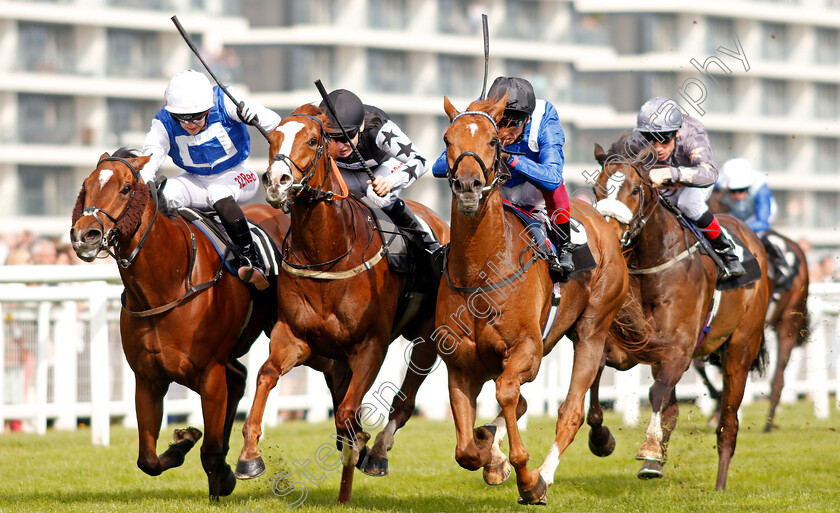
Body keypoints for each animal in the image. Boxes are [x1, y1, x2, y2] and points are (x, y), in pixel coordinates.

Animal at [69, 147, 316, 496]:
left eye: (126, 188)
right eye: (86, 186)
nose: (85, 235)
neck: (167, 286)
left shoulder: (210, 375)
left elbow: (210, 451)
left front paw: (223, 476)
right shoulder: (147, 379)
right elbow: (147, 460)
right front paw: (185, 442)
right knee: (239, 377)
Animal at [236, 104, 450, 504]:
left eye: (312, 140)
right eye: (272, 138)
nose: (277, 181)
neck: (329, 253)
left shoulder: (370, 346)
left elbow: (349, 412)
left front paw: (360, 445)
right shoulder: (294, 337)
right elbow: (266, 375)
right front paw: (249, 456)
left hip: (429, 337)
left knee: (404, 400)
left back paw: (377, 454)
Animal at [436, 93, 640, 504]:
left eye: (493, 141)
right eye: (448, 139)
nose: (467, 184)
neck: (480, 270)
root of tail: (605, 224)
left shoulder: (527, 348)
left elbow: (507, 392)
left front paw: (526, 478)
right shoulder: (459, 365)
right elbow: (466, 450)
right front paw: (491, 456)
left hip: (592, 330)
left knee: (571, 410)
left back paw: (544, 473)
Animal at [588, 139, 772, 488]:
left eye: (635, 189)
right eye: (597, 187)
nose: (608, 234)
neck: (653, 263)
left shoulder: (680, 348)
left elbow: (657, 393)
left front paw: (648, 446)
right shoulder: (627, 348)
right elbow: (597, 374)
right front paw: (601, 439)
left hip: (741, 348)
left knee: (728, 422)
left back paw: (719, 484)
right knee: (673, 408)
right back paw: (655, 464)